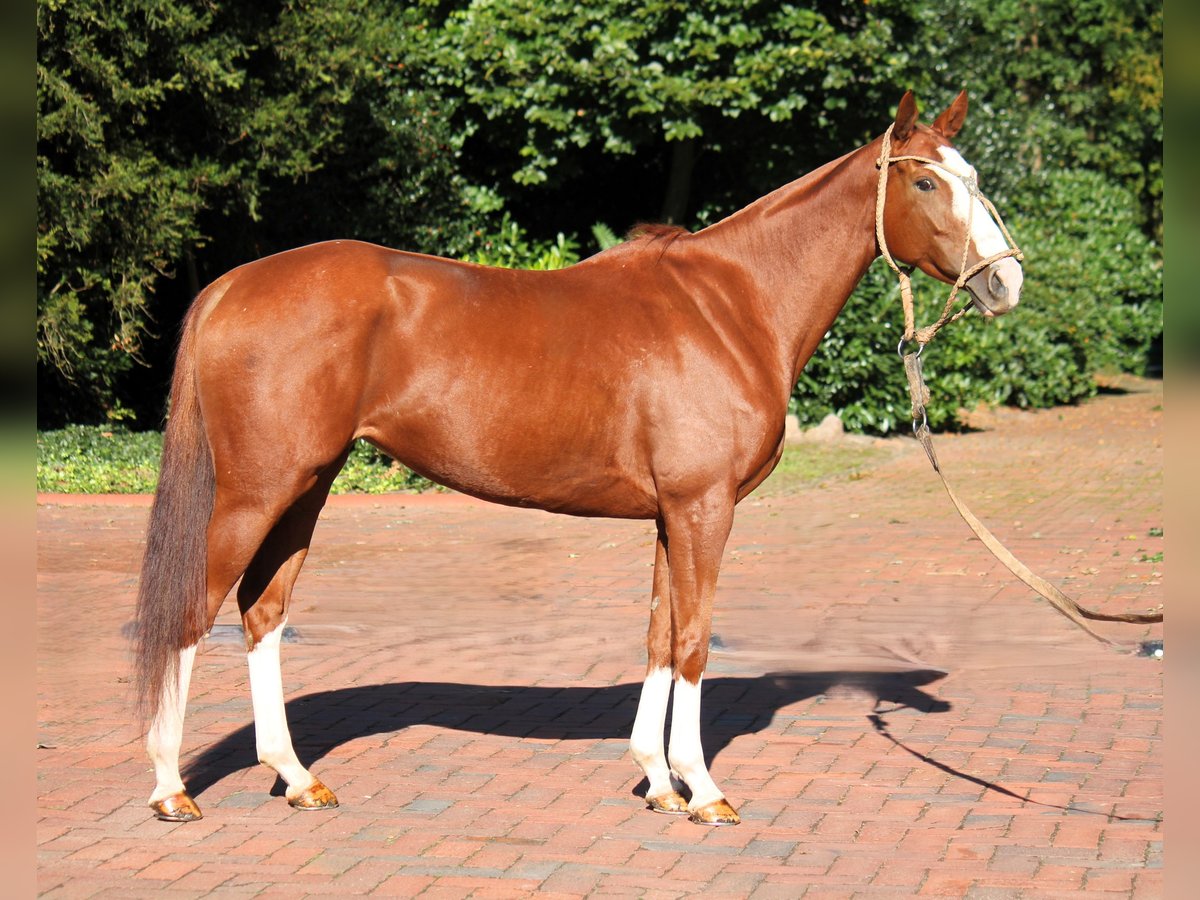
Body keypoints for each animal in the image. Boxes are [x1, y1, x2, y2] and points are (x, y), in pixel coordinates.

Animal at [134, 90, 1023, 826]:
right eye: (925, 184)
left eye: (972, 176)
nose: (1006, 283)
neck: (732, 306)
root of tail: (229, 286)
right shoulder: (704, 507)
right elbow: (694, 640)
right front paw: (705, 791)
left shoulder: (673, 513)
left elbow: (662, 634)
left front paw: (659, 782)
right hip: (256, 493)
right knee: (191, 615)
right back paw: (171, 789)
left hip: (306, 488)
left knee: (262, 613)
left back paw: (296, 777)